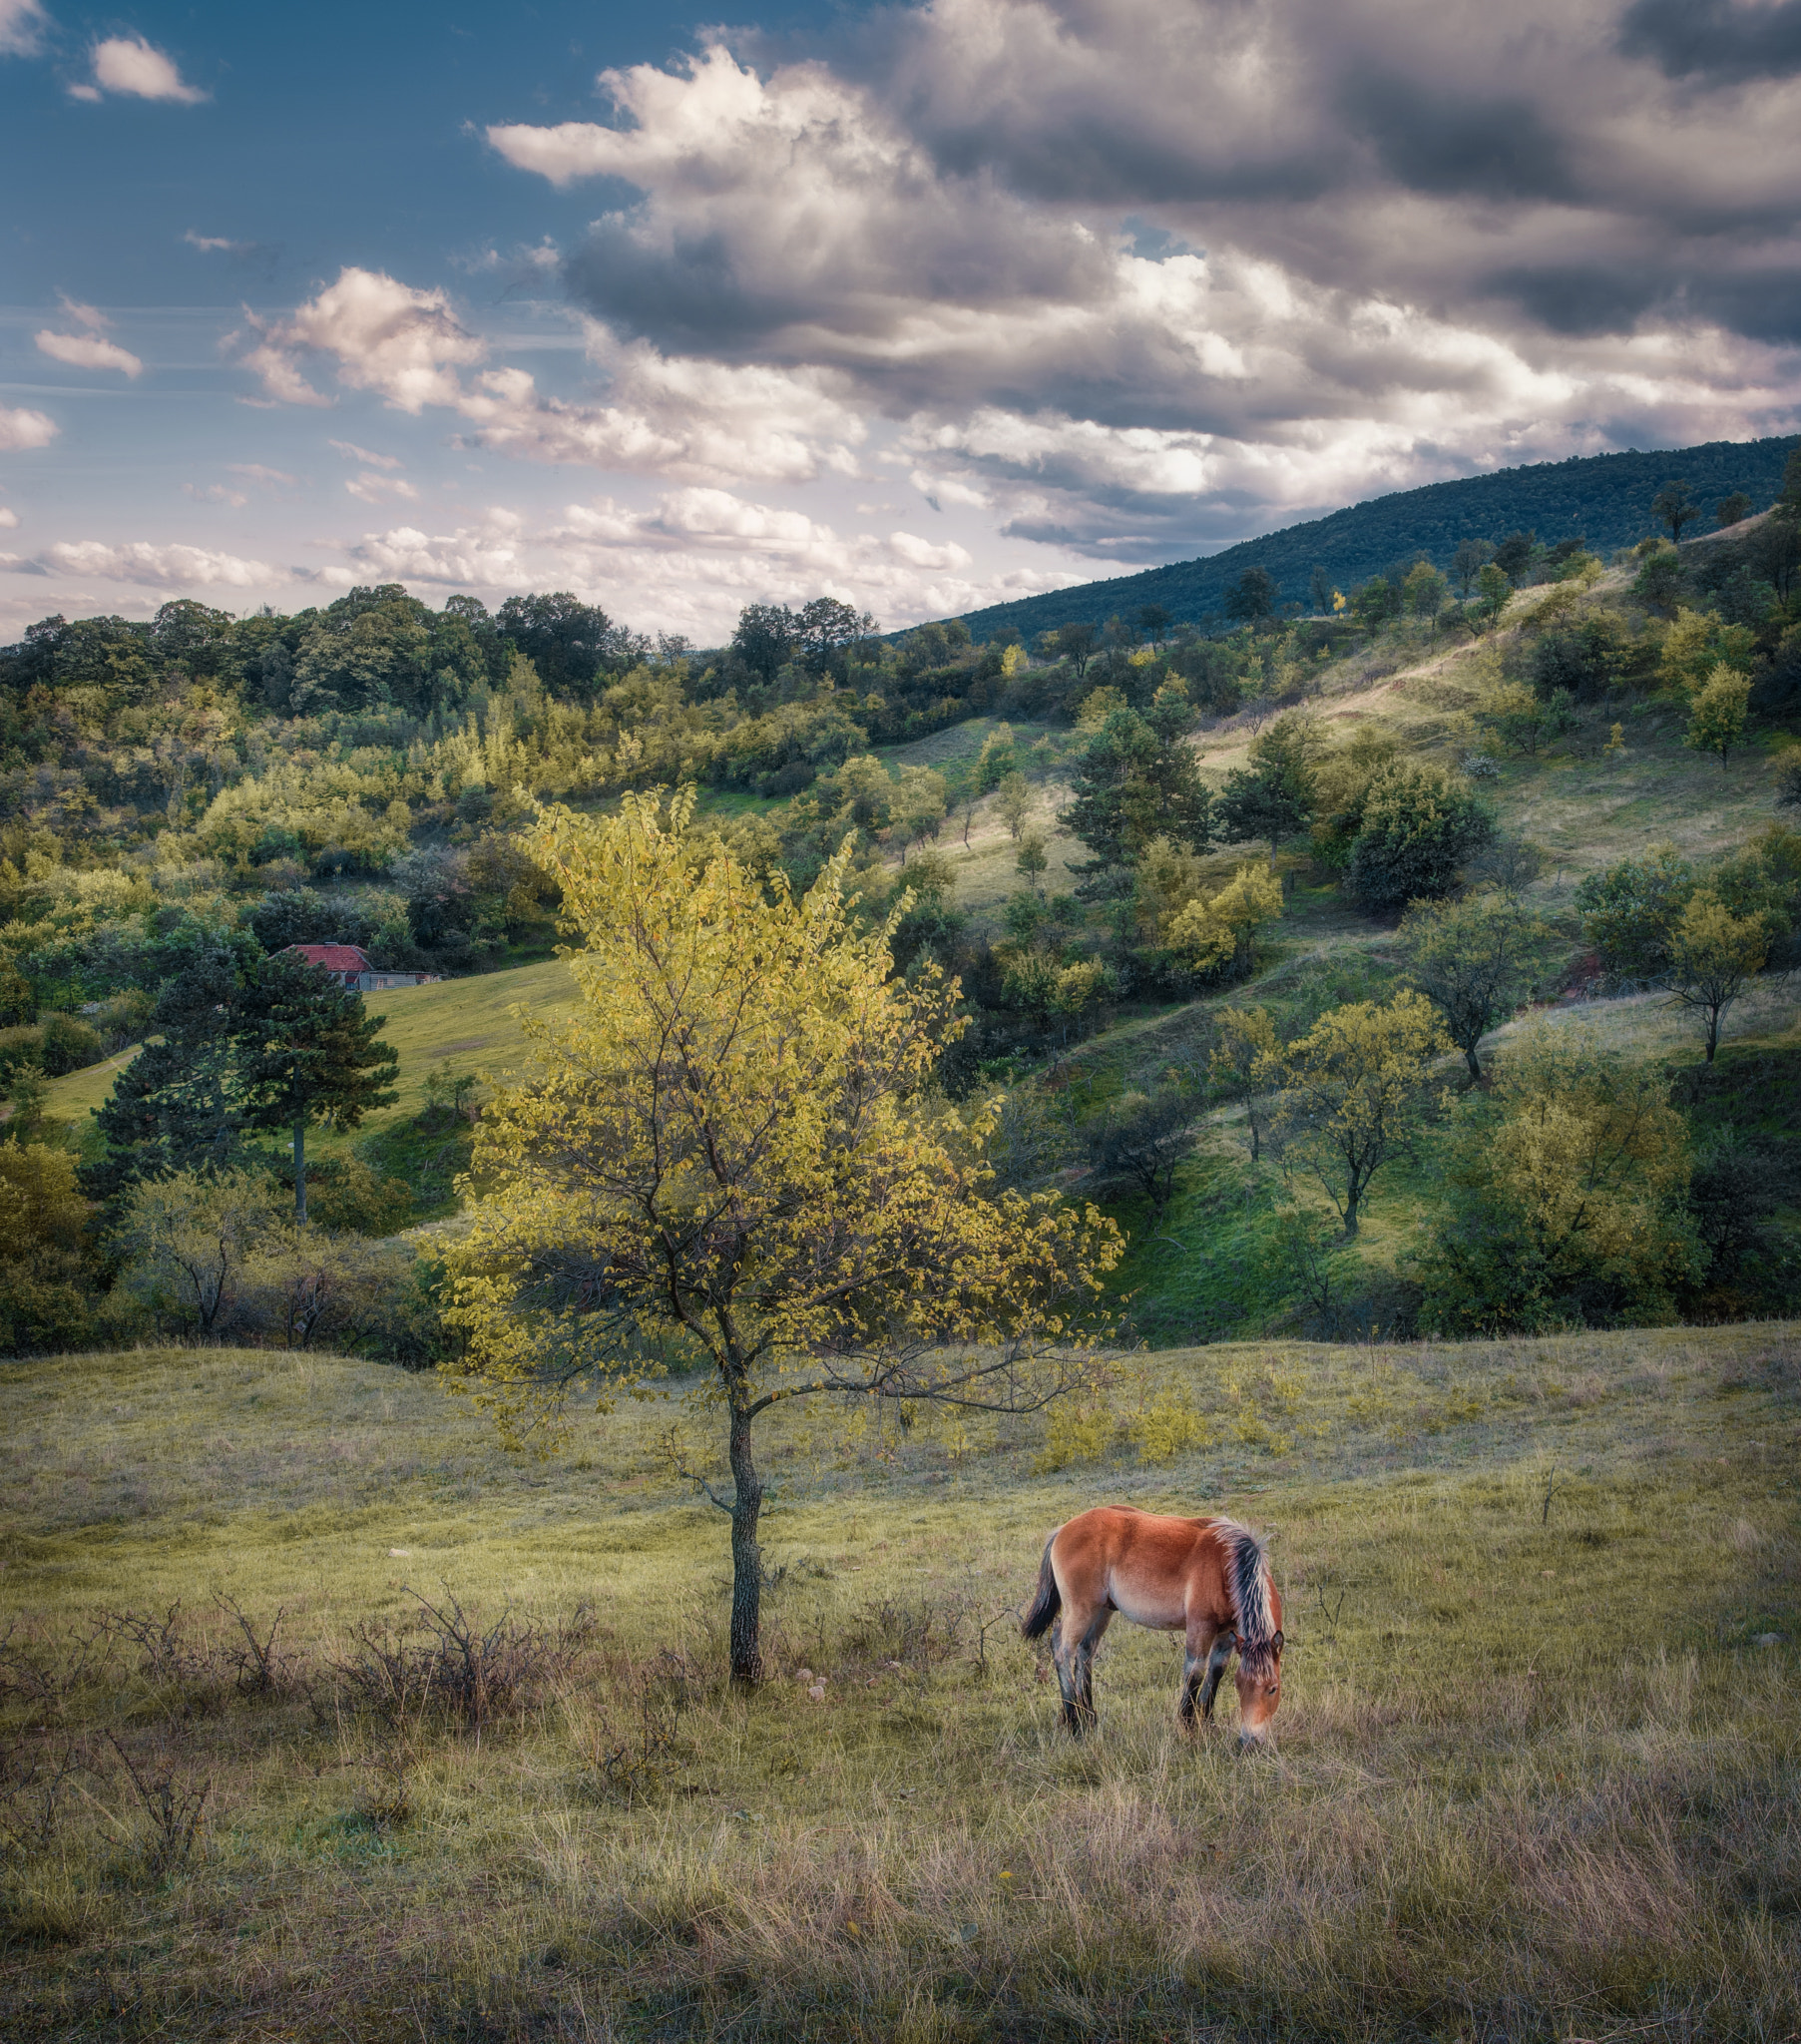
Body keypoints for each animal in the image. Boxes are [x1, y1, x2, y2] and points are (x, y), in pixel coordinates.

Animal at [1026, 1504, 1275, 1741]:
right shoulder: (1200, 1627)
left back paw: (1088, 1717)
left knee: (1085, 1652)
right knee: (1062, 1648)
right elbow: (1194, 1672)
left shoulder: (1226, 1633)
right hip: (1081, 1610)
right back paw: (1073, 1721)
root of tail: (1062, 1530)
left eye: (1272, 1688)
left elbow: (1215, 1672)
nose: (1250, 1739)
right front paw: (1187, 1726)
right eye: (1240, 1685)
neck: (1225, 1562)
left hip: (1101, 1611)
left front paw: (1208, 1722)